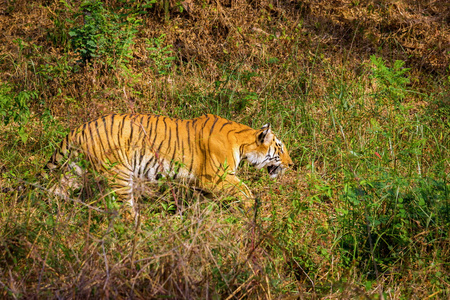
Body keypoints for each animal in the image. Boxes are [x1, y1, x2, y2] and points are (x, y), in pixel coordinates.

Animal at [44, 112, 292, 218]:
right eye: (279, 148)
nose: (292, 164)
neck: (242, 142)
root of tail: (83, 127)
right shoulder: (215, 177)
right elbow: (246, 190)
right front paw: (252, 210)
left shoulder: (203, 185)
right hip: (119, 176)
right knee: (124, 211)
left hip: (76, 170)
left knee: (55, 190)